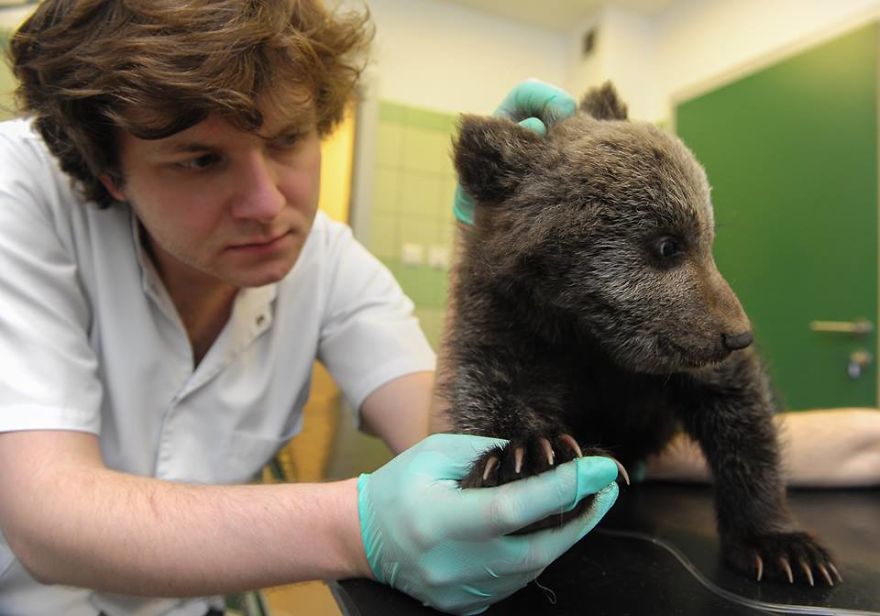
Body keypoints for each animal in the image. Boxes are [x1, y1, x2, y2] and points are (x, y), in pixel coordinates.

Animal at [444, 82, 838, 587]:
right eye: (668, 245)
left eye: (709, 242)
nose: (738, 335)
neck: (588, 336)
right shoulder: (507, 319)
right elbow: (491, 385)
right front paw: (530, 457)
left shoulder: (670, 358)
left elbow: (742, 416)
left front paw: (780, 543)